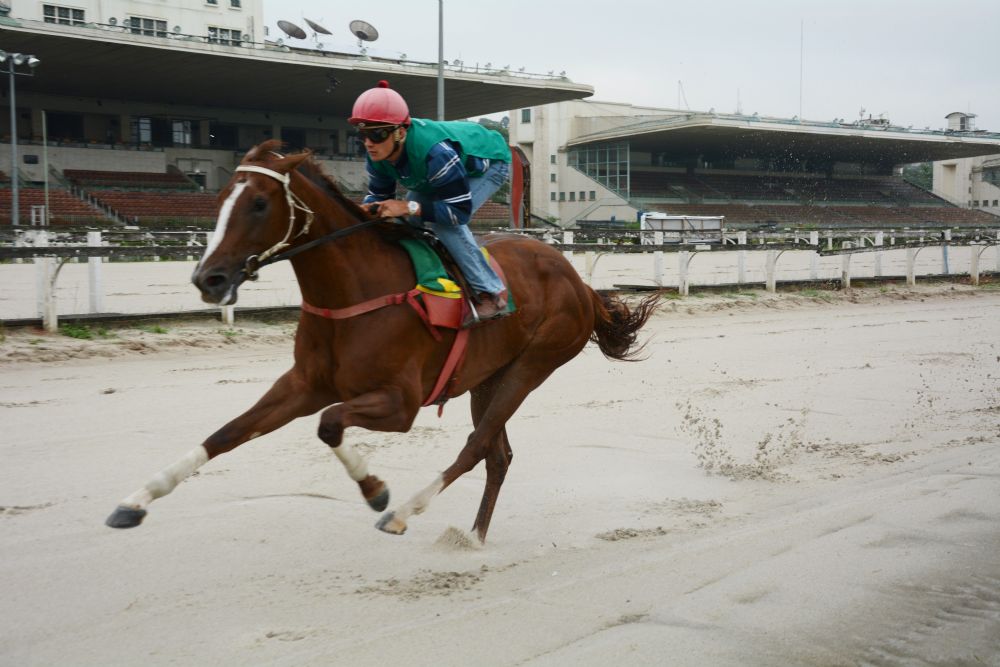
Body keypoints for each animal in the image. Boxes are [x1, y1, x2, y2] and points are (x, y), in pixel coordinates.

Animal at [105, 140, 659, 543]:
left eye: (260, 203)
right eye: (220, 201)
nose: (209, 279)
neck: (353, 291)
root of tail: (579, 282)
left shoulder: (400, 403)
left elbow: (329, 424)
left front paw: (376, 491)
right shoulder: (304, 385)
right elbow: (228, 432)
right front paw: (135, 501)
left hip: (533, 366)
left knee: (476, 446)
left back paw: (405, 512)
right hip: (489, 376)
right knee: (496, 454)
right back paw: (473, 537)